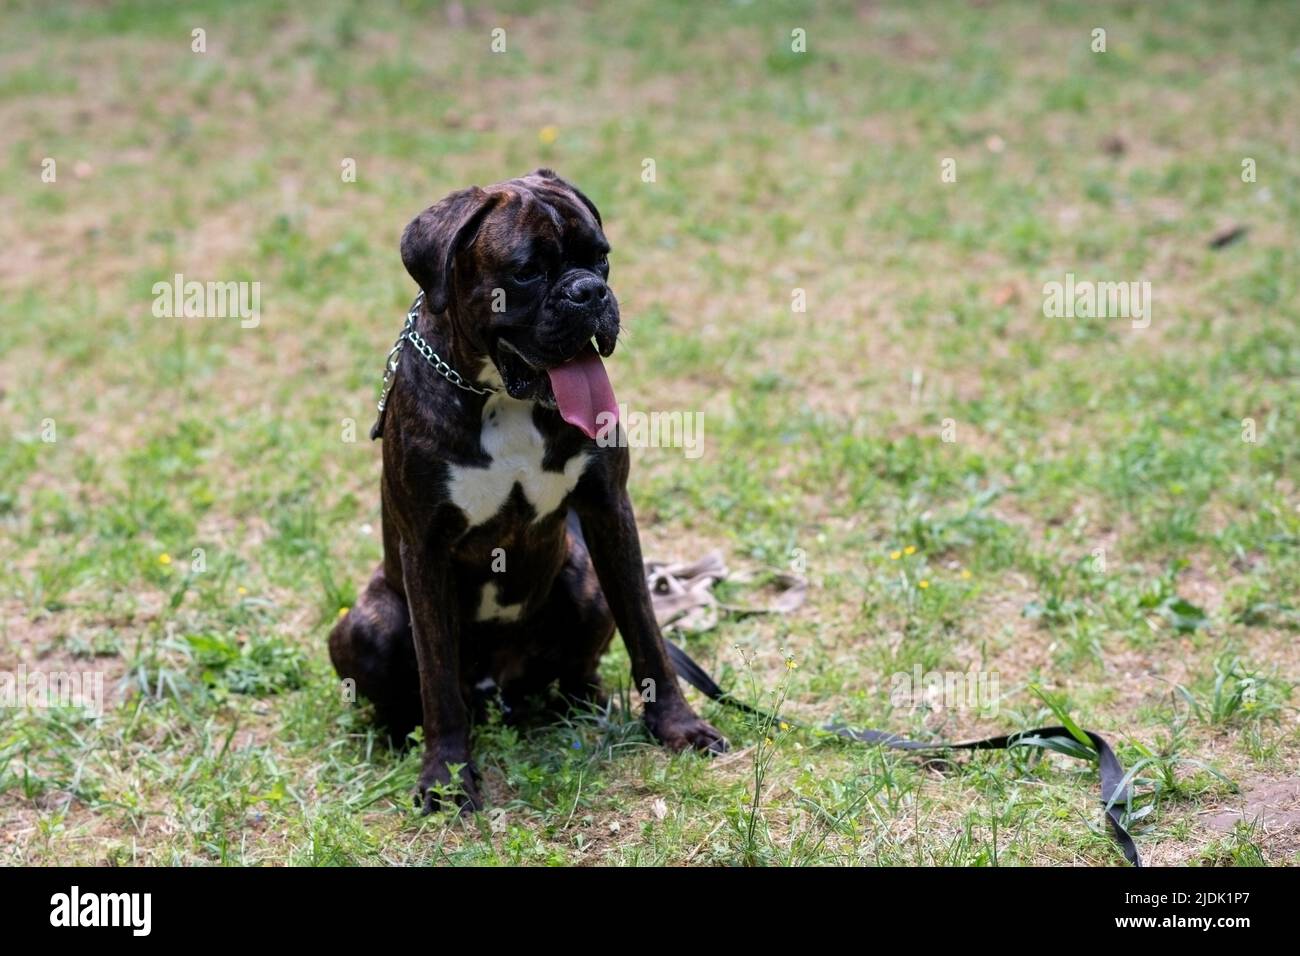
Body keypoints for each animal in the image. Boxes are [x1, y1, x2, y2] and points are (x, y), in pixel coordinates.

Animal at [330, 167, 728, 811]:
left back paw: (585, 703)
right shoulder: (425, 547)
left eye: (601, 257)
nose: (589, 293)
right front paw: (445, 776)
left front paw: (678, 726)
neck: (503, 397)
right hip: (370, 622)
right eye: (525, 272)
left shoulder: (609, 512)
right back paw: (400, 735)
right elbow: (436, 677)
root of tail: (499, 687)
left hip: (586, 583)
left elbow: (647, 634)